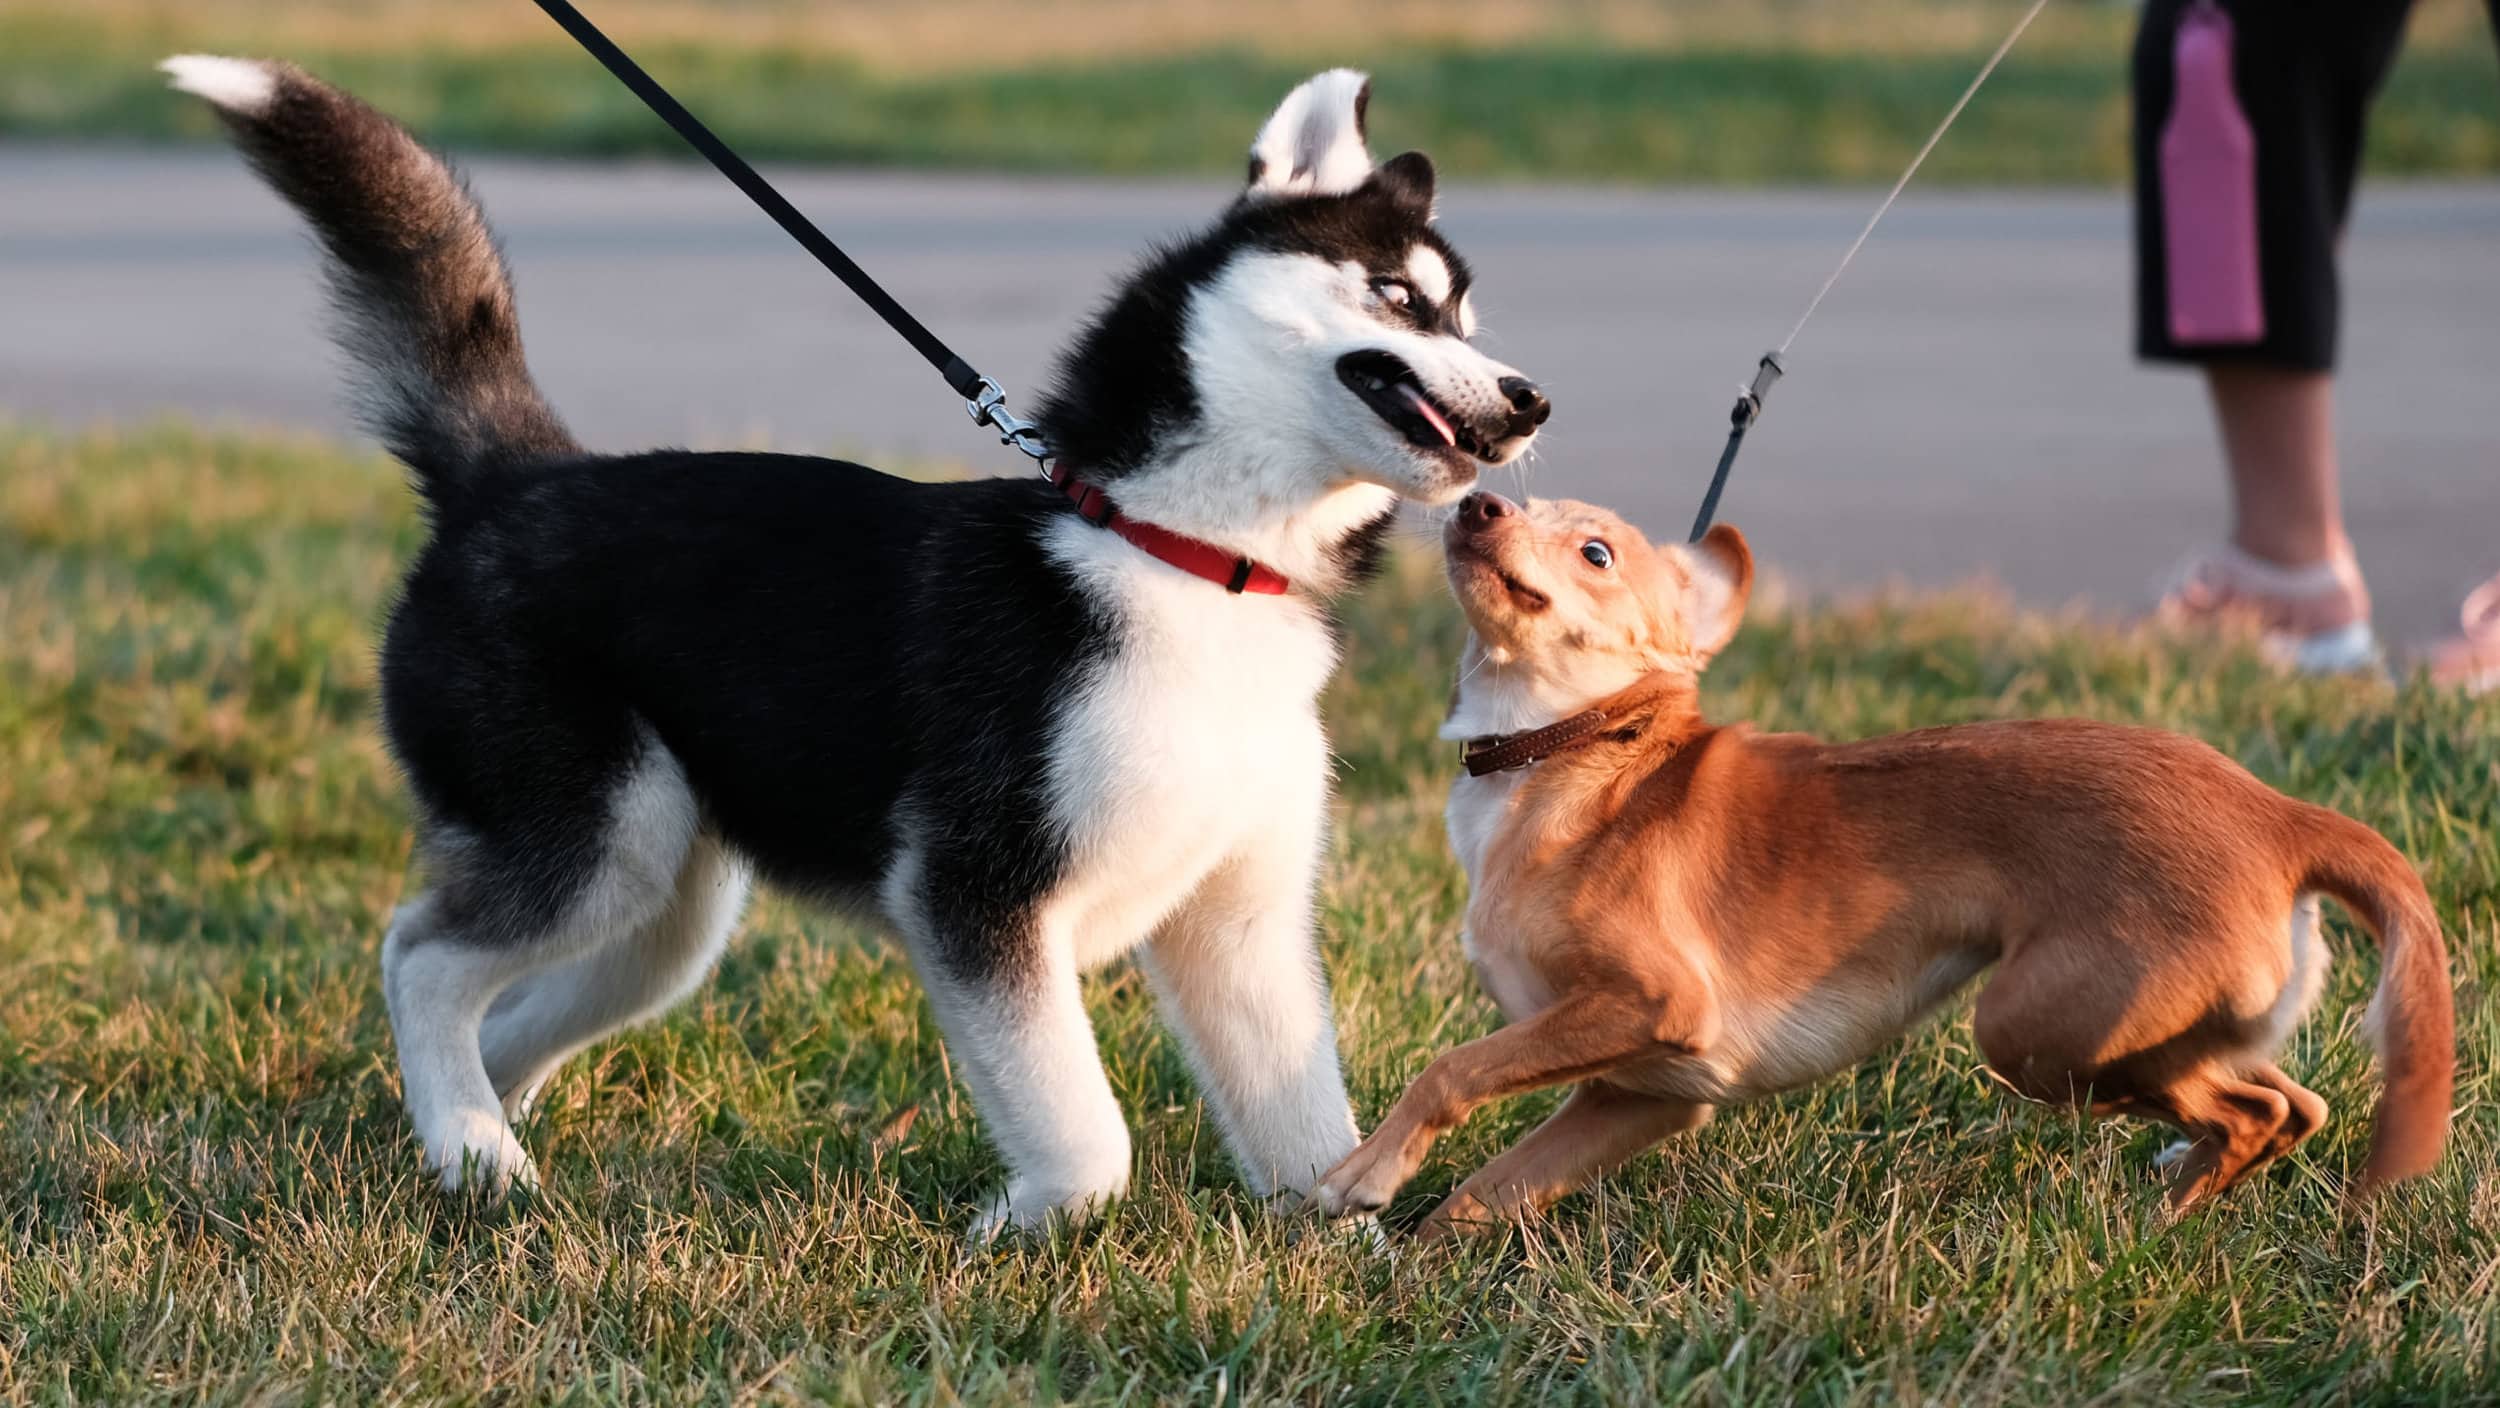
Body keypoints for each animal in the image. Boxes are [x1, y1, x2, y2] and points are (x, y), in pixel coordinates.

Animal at [166, 55, 1540, 1235]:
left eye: (1472, 316)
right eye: (1400, 296)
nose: (1531, 400)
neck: (1180, 553)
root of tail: (513, 477)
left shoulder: (1241, 926)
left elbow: (1314, 1132)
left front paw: (1354, 1261)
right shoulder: (977, 895)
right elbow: (1090, 1137)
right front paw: (1022, 1225)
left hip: (666, 906)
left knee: (505, 1009)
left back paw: (454, 1135)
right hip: (600, 840)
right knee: (421, 956)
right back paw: (470, 1145)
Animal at [1320, 492, 2450, 1235]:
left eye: (1594, 551)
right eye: (1514, 496)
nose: (1477, 497)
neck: (1572, 749)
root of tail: (2278, 814)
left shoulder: (1649, 1004)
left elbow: (1452, 1069)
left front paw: (1362, 1174)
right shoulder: (1642, 1092)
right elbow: (1489, 1190)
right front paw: (1412, 1270)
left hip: (2037, 1025)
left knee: (2253, 1109)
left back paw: (2151, 1222)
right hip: (2160, 1027)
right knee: (2290, 1103)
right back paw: (2172, 1204)